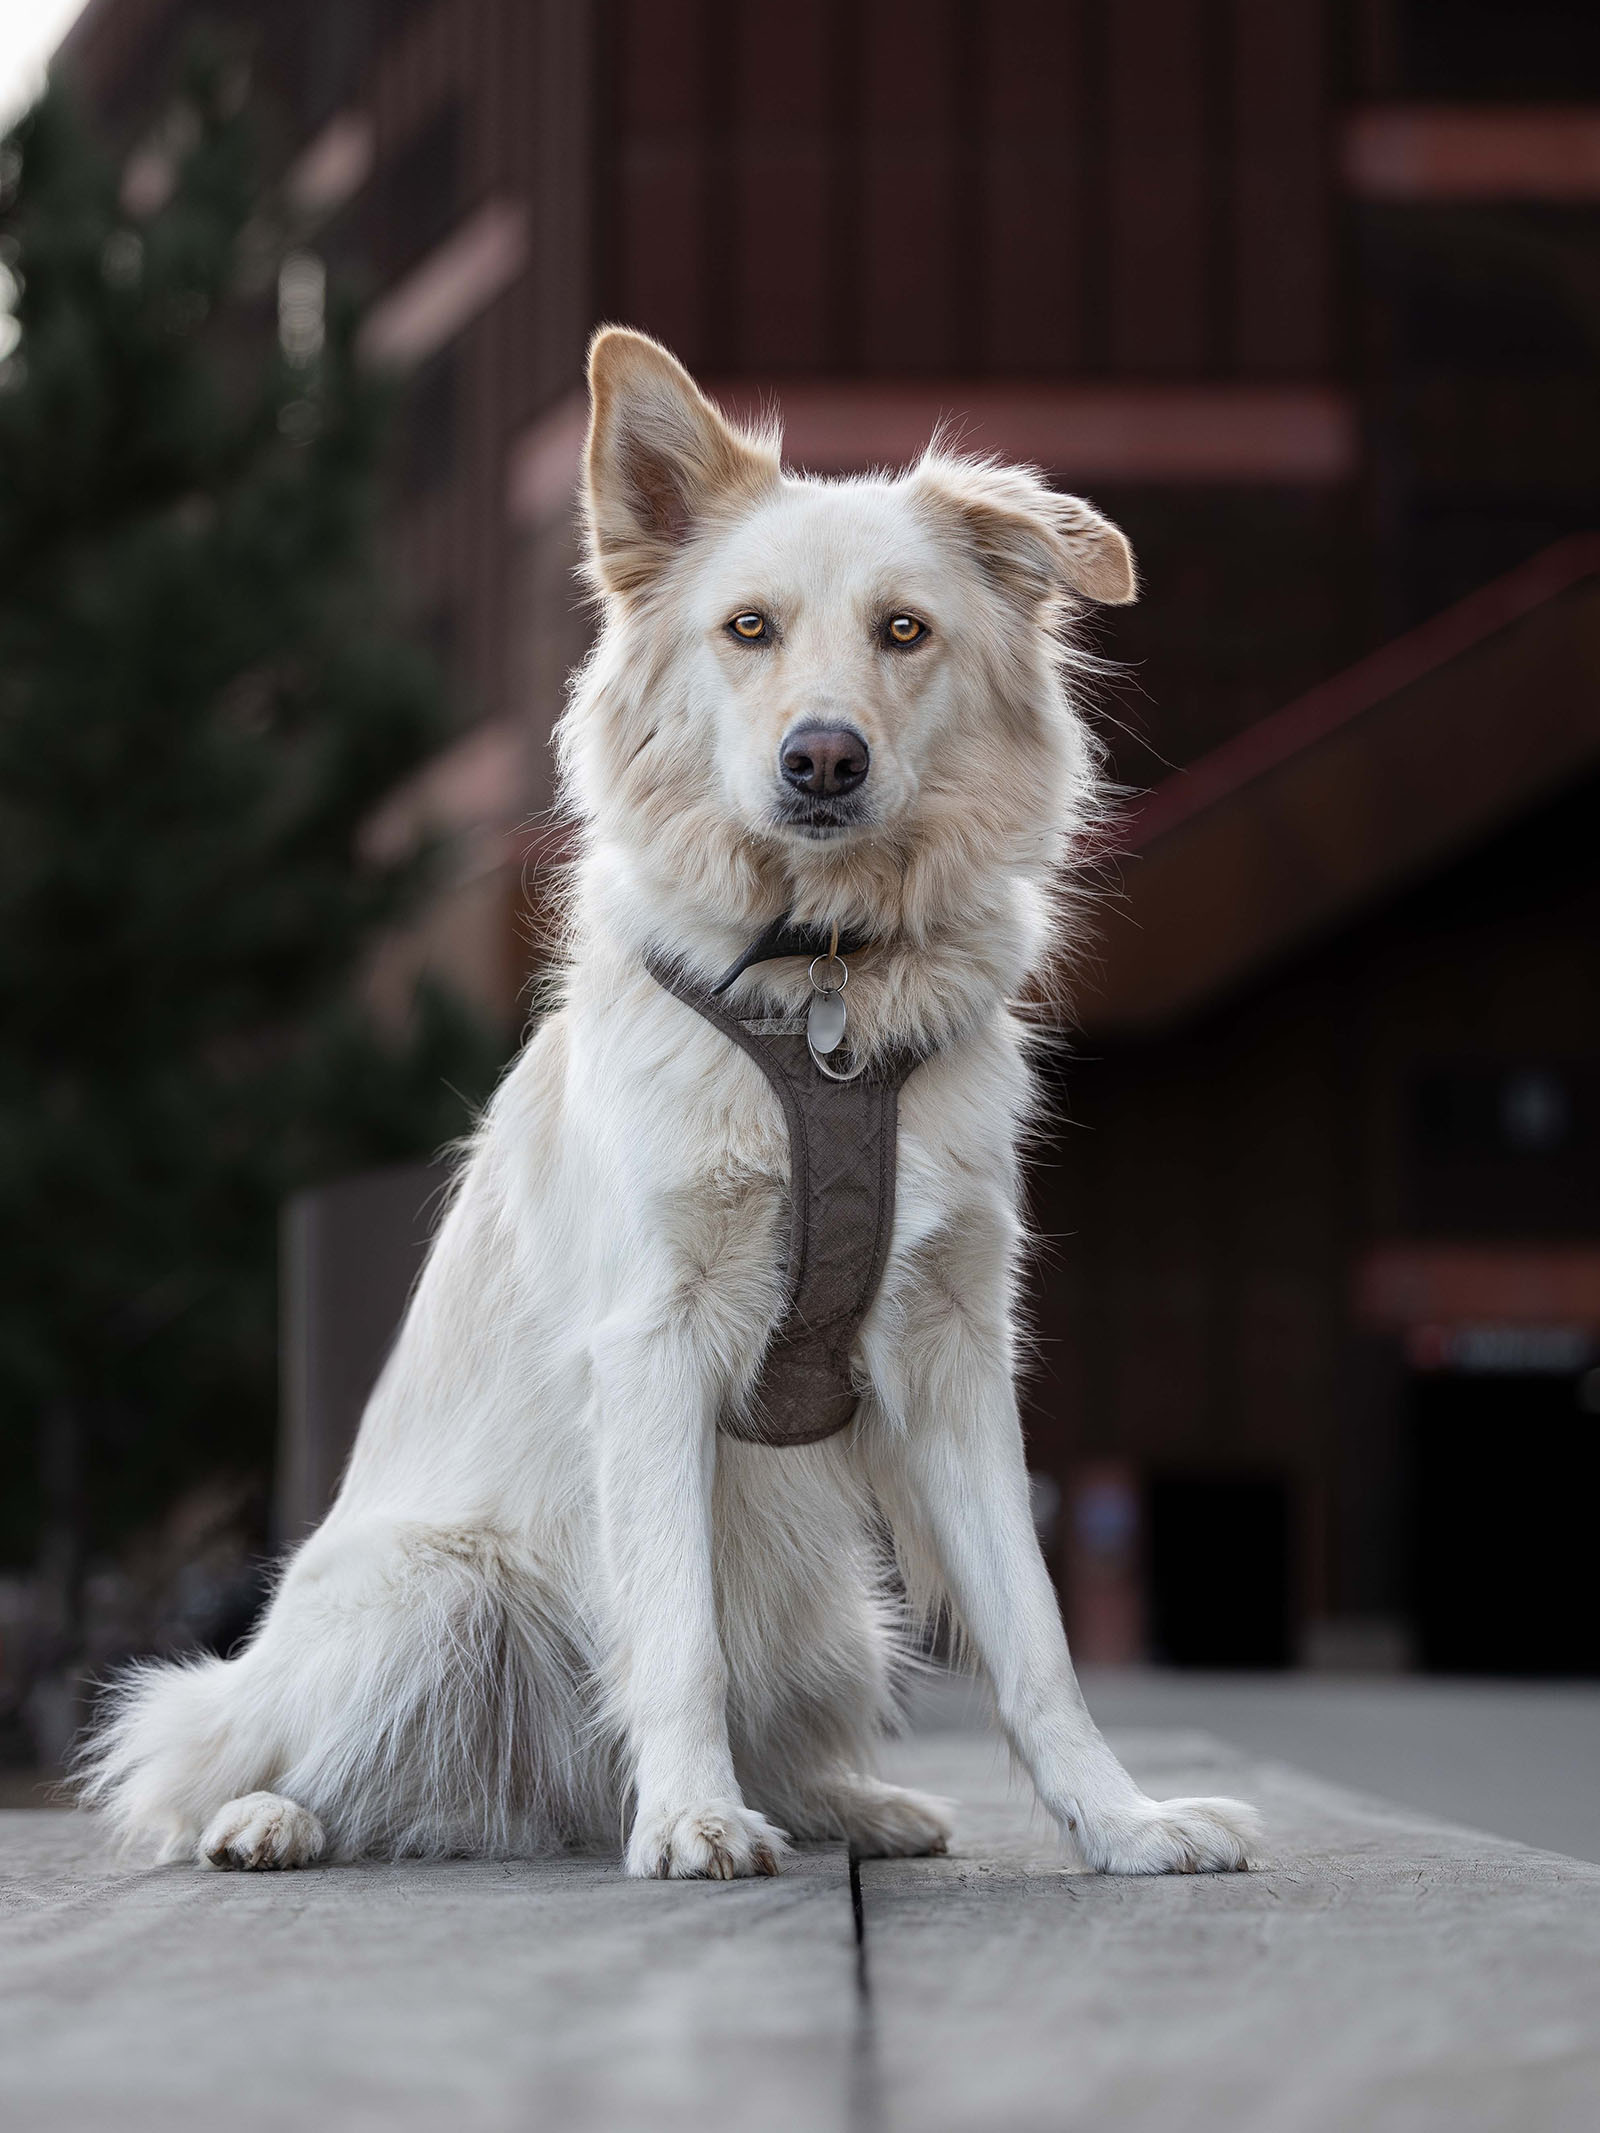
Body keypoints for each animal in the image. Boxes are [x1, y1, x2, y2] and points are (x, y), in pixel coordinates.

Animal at [84, 324, 1262, 1877]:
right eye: (747, 629)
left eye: (905, 632)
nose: (823, 757)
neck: (821, 990)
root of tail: (553, 1798)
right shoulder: (653, 1344)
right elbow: (677, 1632)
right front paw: (697, 1818)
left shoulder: (955, 1352)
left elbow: (1035, 1633)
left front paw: (1121, 1823)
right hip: (431, 1589)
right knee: (250, 1759)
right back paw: (272, 1816)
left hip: (835, 1613)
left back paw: (847, 1802)